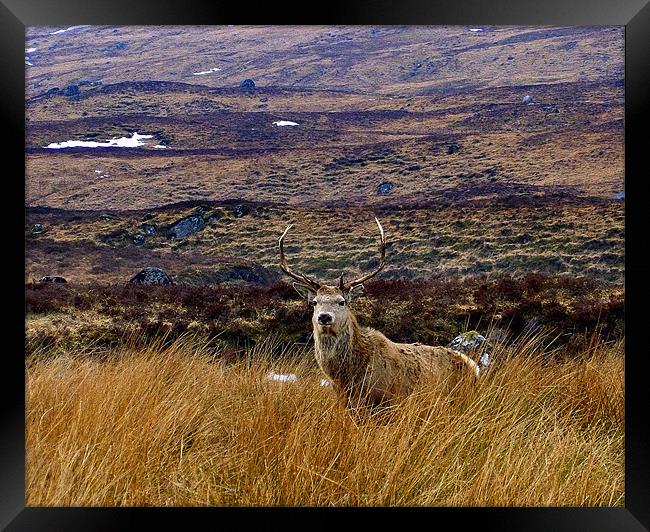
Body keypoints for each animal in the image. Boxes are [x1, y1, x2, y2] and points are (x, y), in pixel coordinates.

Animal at [276, 218, 478, 410]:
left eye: (342, 302)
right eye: (315, 302)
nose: (324, 317)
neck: (346, 378)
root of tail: (474, 366)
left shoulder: (389, 400)